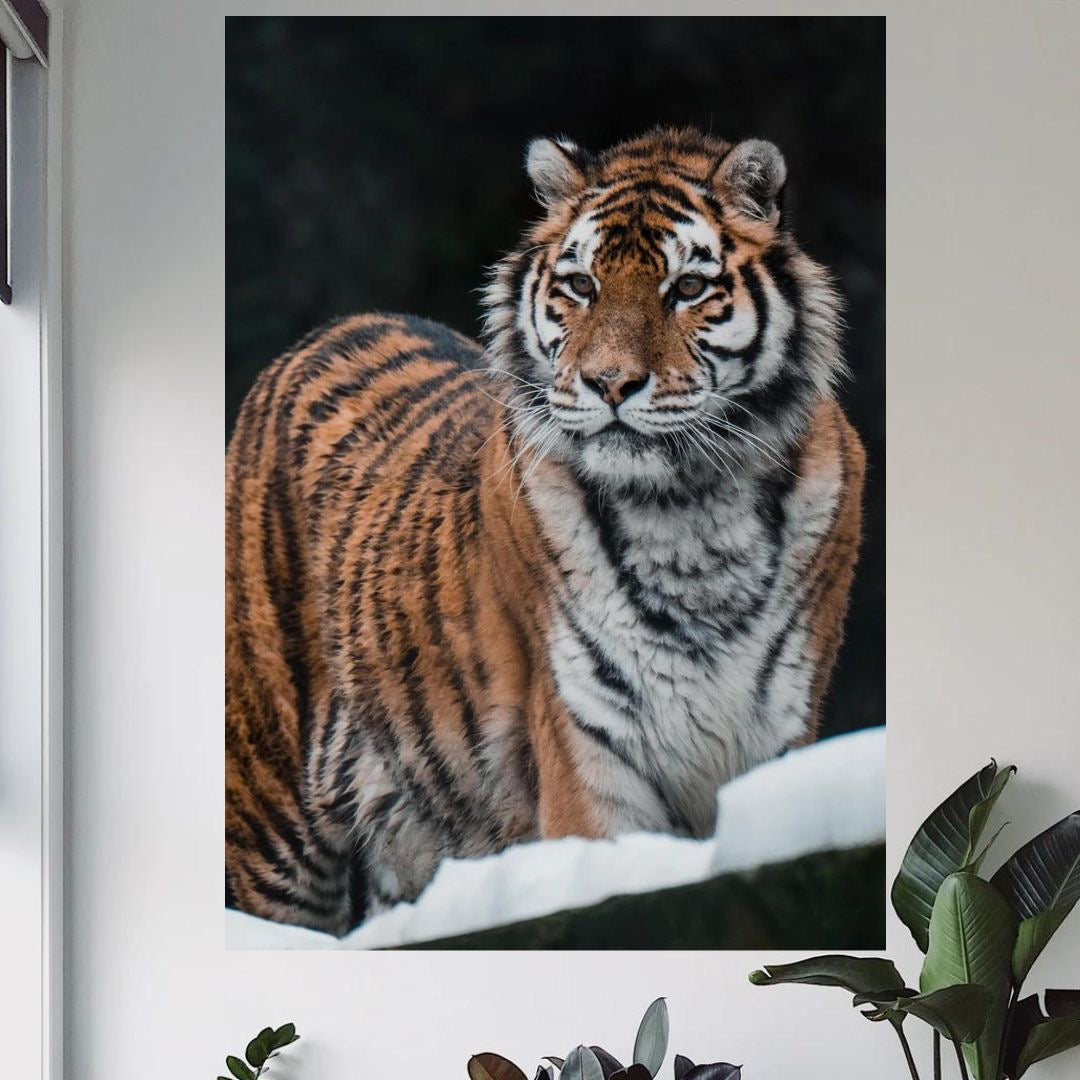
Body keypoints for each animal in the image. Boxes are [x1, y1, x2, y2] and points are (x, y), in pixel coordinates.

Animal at [225, 127, 866, 936]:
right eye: (582, 286)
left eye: (688, 289)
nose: (610, 383)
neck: (689, 511)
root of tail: (330, 329)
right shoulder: (589, 751)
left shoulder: (777, 735)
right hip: (275, 830)